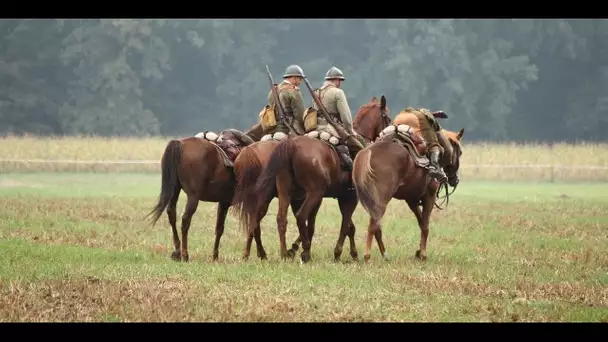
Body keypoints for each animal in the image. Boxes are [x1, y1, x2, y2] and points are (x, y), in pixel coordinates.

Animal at [147, 124, 264, 260]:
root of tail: (180, 144)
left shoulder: (224, 202)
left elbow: (219, 228)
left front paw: (215, 256)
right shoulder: (250, 202)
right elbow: (255, 227)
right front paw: (261, 254)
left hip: (175, 190)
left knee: (172, 213)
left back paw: (177, 251)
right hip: (193, 197)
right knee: (185, 220)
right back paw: (185, 254)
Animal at [236, 95, 390, 262]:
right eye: (387, 117)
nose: (386, 138)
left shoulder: (309, 198)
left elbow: (324, 225)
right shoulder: (348, 197)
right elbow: (346, 225)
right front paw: (340, 253)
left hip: (281, 193)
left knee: (272, 219)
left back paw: (269, 254)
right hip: (311, 193)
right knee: (297, 216)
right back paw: (301, 253)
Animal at [352, 117, 466, 262]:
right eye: (460, 152)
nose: (455, 180)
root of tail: (367, 152)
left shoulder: (411, 200)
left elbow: (421, 222)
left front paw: (418, 251)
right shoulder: (430, 196)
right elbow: (425, 226)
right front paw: (423, 254)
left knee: (376, 226)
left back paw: (383, 254)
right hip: (381, 202)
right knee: (373, 225)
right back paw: (368, 256)